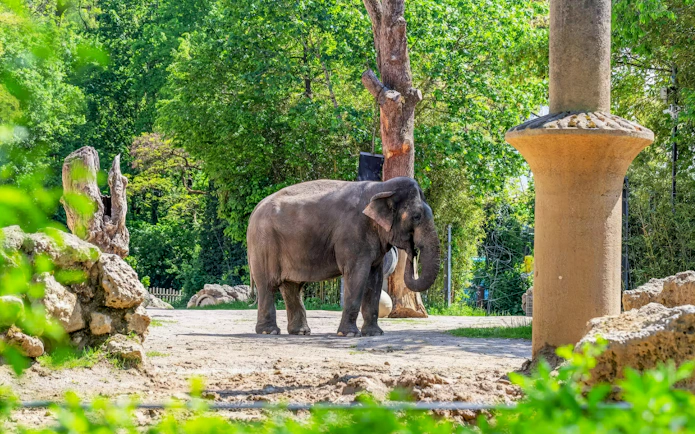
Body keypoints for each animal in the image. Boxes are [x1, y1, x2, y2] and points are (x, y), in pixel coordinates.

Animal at [246, 177, 440, 337]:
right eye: (416, 217)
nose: (412, 250)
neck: (381, 187)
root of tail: (255, 209)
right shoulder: (353, 235)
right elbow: (357, 276)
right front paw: (348, 335)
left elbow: (375, 280)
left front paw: (375, 334)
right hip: (264, 244)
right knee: (268, 285)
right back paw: (269, 332)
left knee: (292, 286)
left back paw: (300, 332)